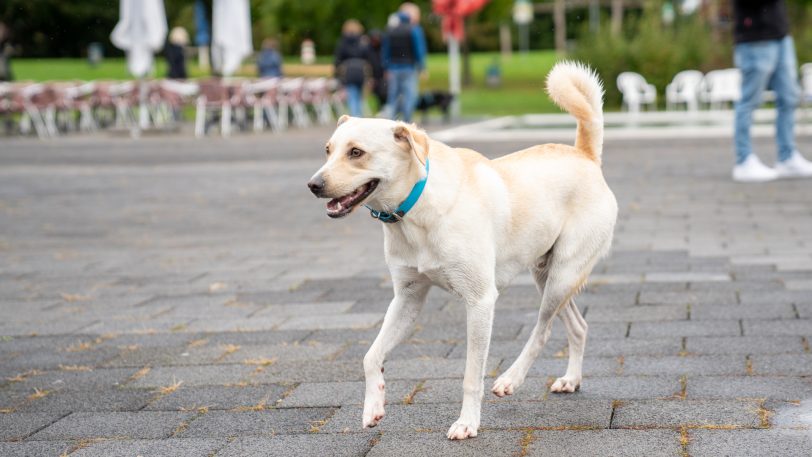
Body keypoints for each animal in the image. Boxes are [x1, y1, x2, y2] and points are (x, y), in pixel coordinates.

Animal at [308, 62, 620, 440]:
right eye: (327, 150)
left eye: (356, 152)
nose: (313, 185)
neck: (415, 210)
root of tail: (584, 154)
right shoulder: (407, 298)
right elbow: (371, 356)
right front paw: (373, 407)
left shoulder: (480, 301)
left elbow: (471, 376)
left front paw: (467, 423)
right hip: (546, 274)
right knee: (578, 326)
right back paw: (571, 379)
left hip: (563, 275)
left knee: (543, 330)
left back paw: (510, 379)